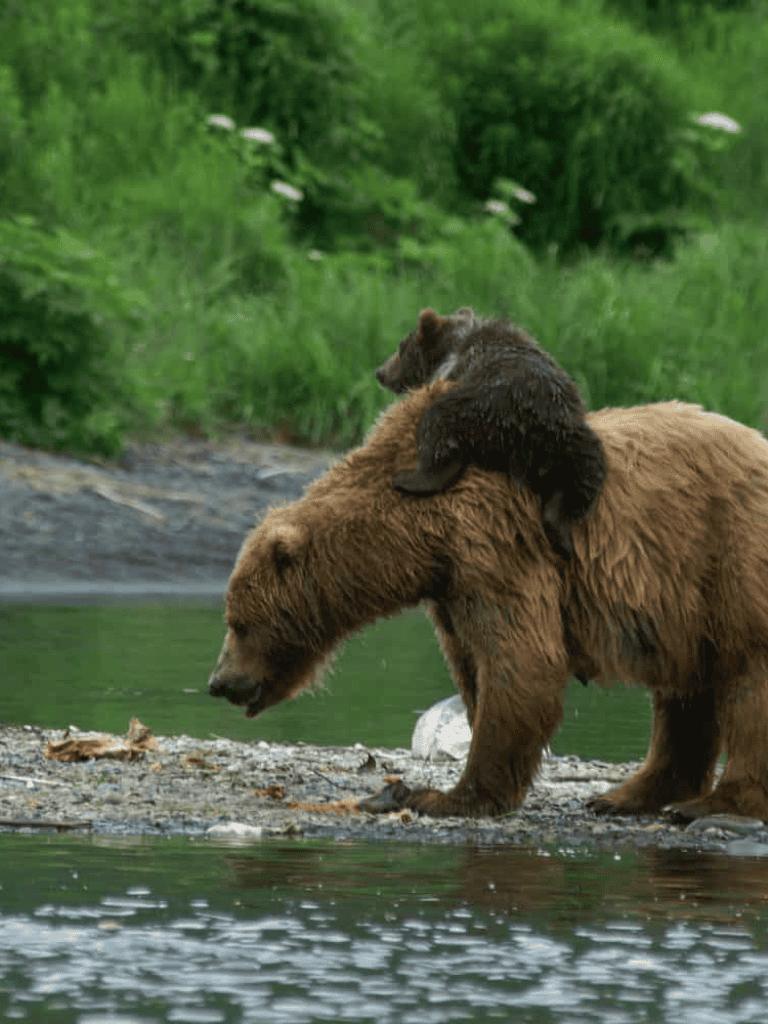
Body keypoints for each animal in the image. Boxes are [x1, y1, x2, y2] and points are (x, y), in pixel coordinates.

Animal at [209, 381, 768, 822]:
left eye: (238, 622)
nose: (219, 682)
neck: (417, 534)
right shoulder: (451, 587)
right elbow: (474, 667)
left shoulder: (497, 543)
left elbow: (521, 662)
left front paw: (449, 796)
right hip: (687, 602)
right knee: (686, 693)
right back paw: (626, 796)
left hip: (731, 555)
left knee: (748, 679)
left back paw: (715, 804)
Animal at [374, 307, 606, 560]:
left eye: (401, 348)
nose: (380, 372)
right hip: (573, 441)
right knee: (581, 481)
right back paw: (562, 535)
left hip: (476, 408)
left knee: (438, 428)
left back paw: (407, 479)